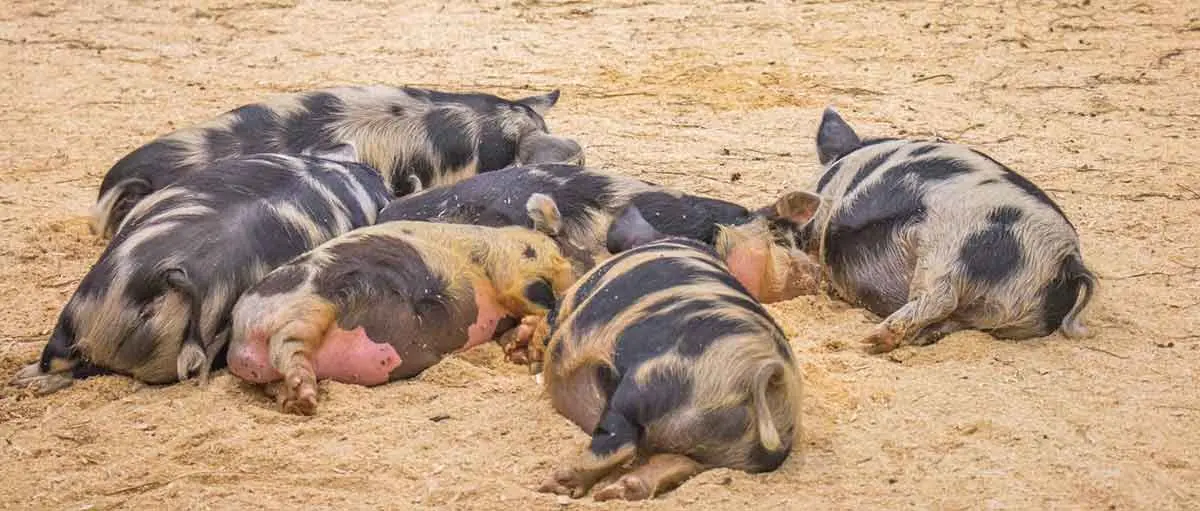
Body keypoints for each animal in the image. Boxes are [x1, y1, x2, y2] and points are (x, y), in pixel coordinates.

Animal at [10, 149, 393, 393]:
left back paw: (24, 382)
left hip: (82, 308)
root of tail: (171, 277)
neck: (340, 175)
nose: (375, 174)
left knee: (62, 361)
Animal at [231, 209, 578, 417]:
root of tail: (240, 344)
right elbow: (530, 296)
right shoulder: (514, 269)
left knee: (277, 379)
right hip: (309, 305)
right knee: (287, 347)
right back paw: (305, 399)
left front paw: (516, 347)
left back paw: (293, 401)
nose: (570, 269)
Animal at [532, 237, 796, 501]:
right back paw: (623, 490)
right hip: (721, 448)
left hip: (648, 382)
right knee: (679, 462)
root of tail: (757, 375)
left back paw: (554, 483)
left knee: (621, 440)